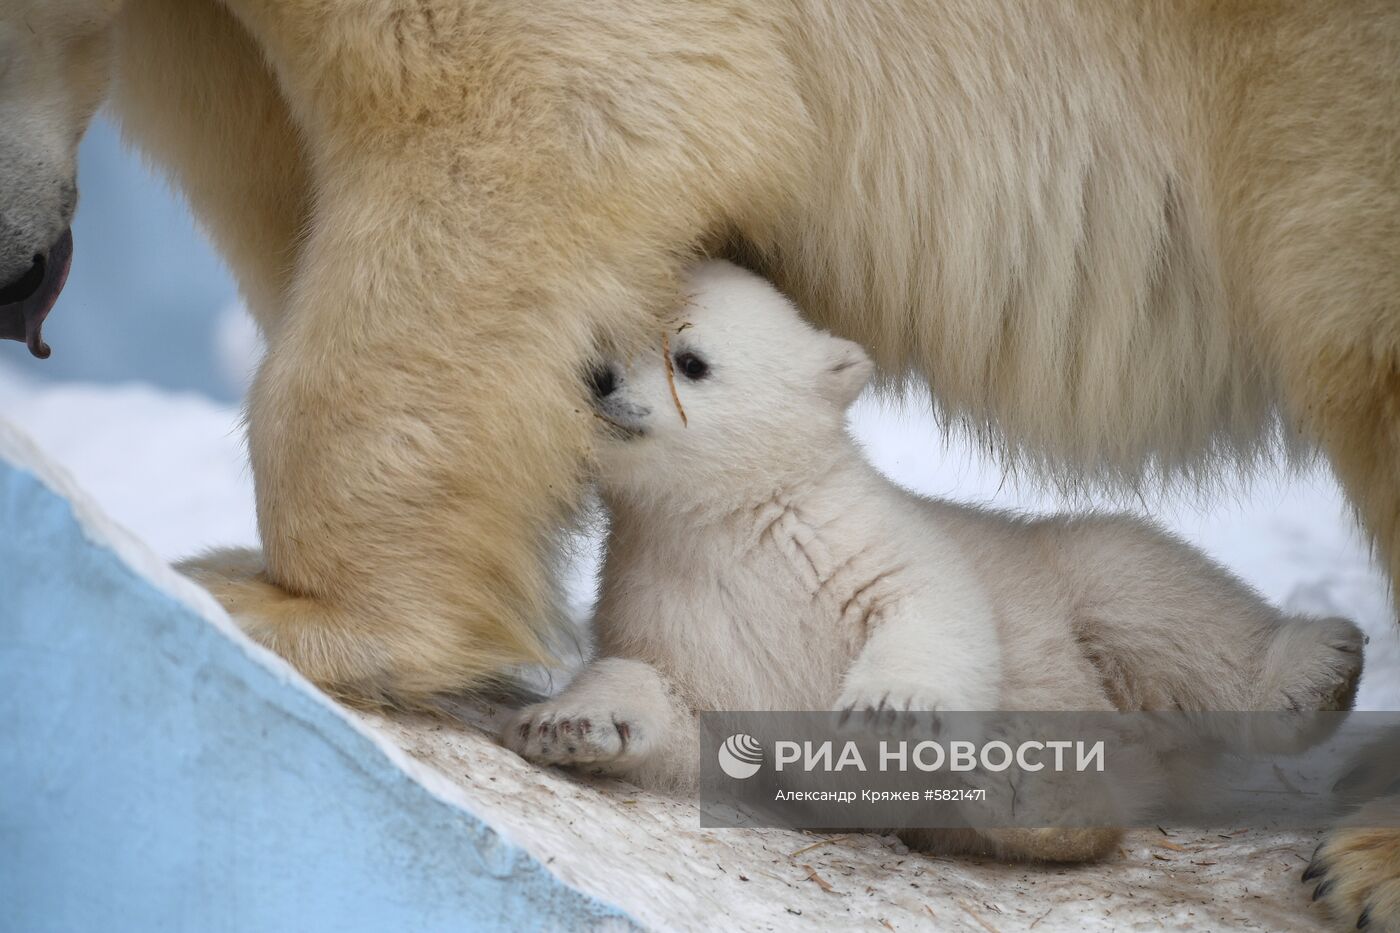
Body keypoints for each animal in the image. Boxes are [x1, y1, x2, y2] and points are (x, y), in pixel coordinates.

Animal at [504, 259, 1366, 857]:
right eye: (602, 334)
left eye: (689, 359)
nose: (599, 379)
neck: (724, 516)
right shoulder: (671, 598)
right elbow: (679, 707)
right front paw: (570, 723)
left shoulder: (845, 535)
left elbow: (929, 602)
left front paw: (890, 707)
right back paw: (1036, 800)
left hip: (1075, 582)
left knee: (1151, 594)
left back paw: (1318, 668)